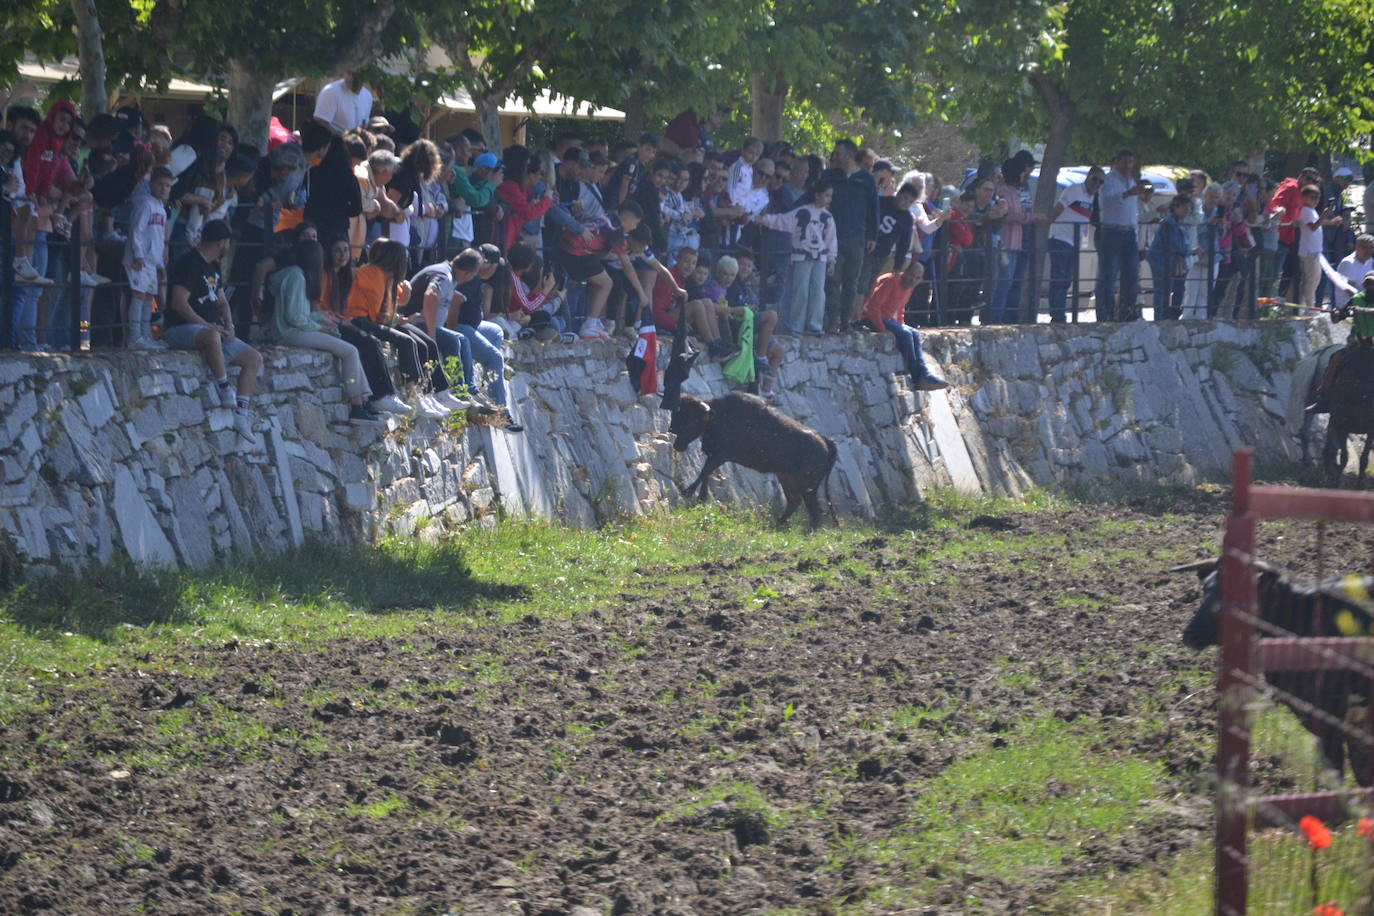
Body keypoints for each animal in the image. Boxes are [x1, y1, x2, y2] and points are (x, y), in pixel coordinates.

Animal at [667, 395, 835, 530]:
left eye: (691, 418)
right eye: (677, 413)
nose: (673, 433)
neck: (720, 415)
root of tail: (824, 440)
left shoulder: (721, 456)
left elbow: (704, 472)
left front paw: (688, 492)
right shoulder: (714, 456)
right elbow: (706, 475)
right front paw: (701, 499)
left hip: (808, 486)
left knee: (814, 509)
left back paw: (806, 532)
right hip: (787, 478)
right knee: (795, 501)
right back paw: (778, 524)